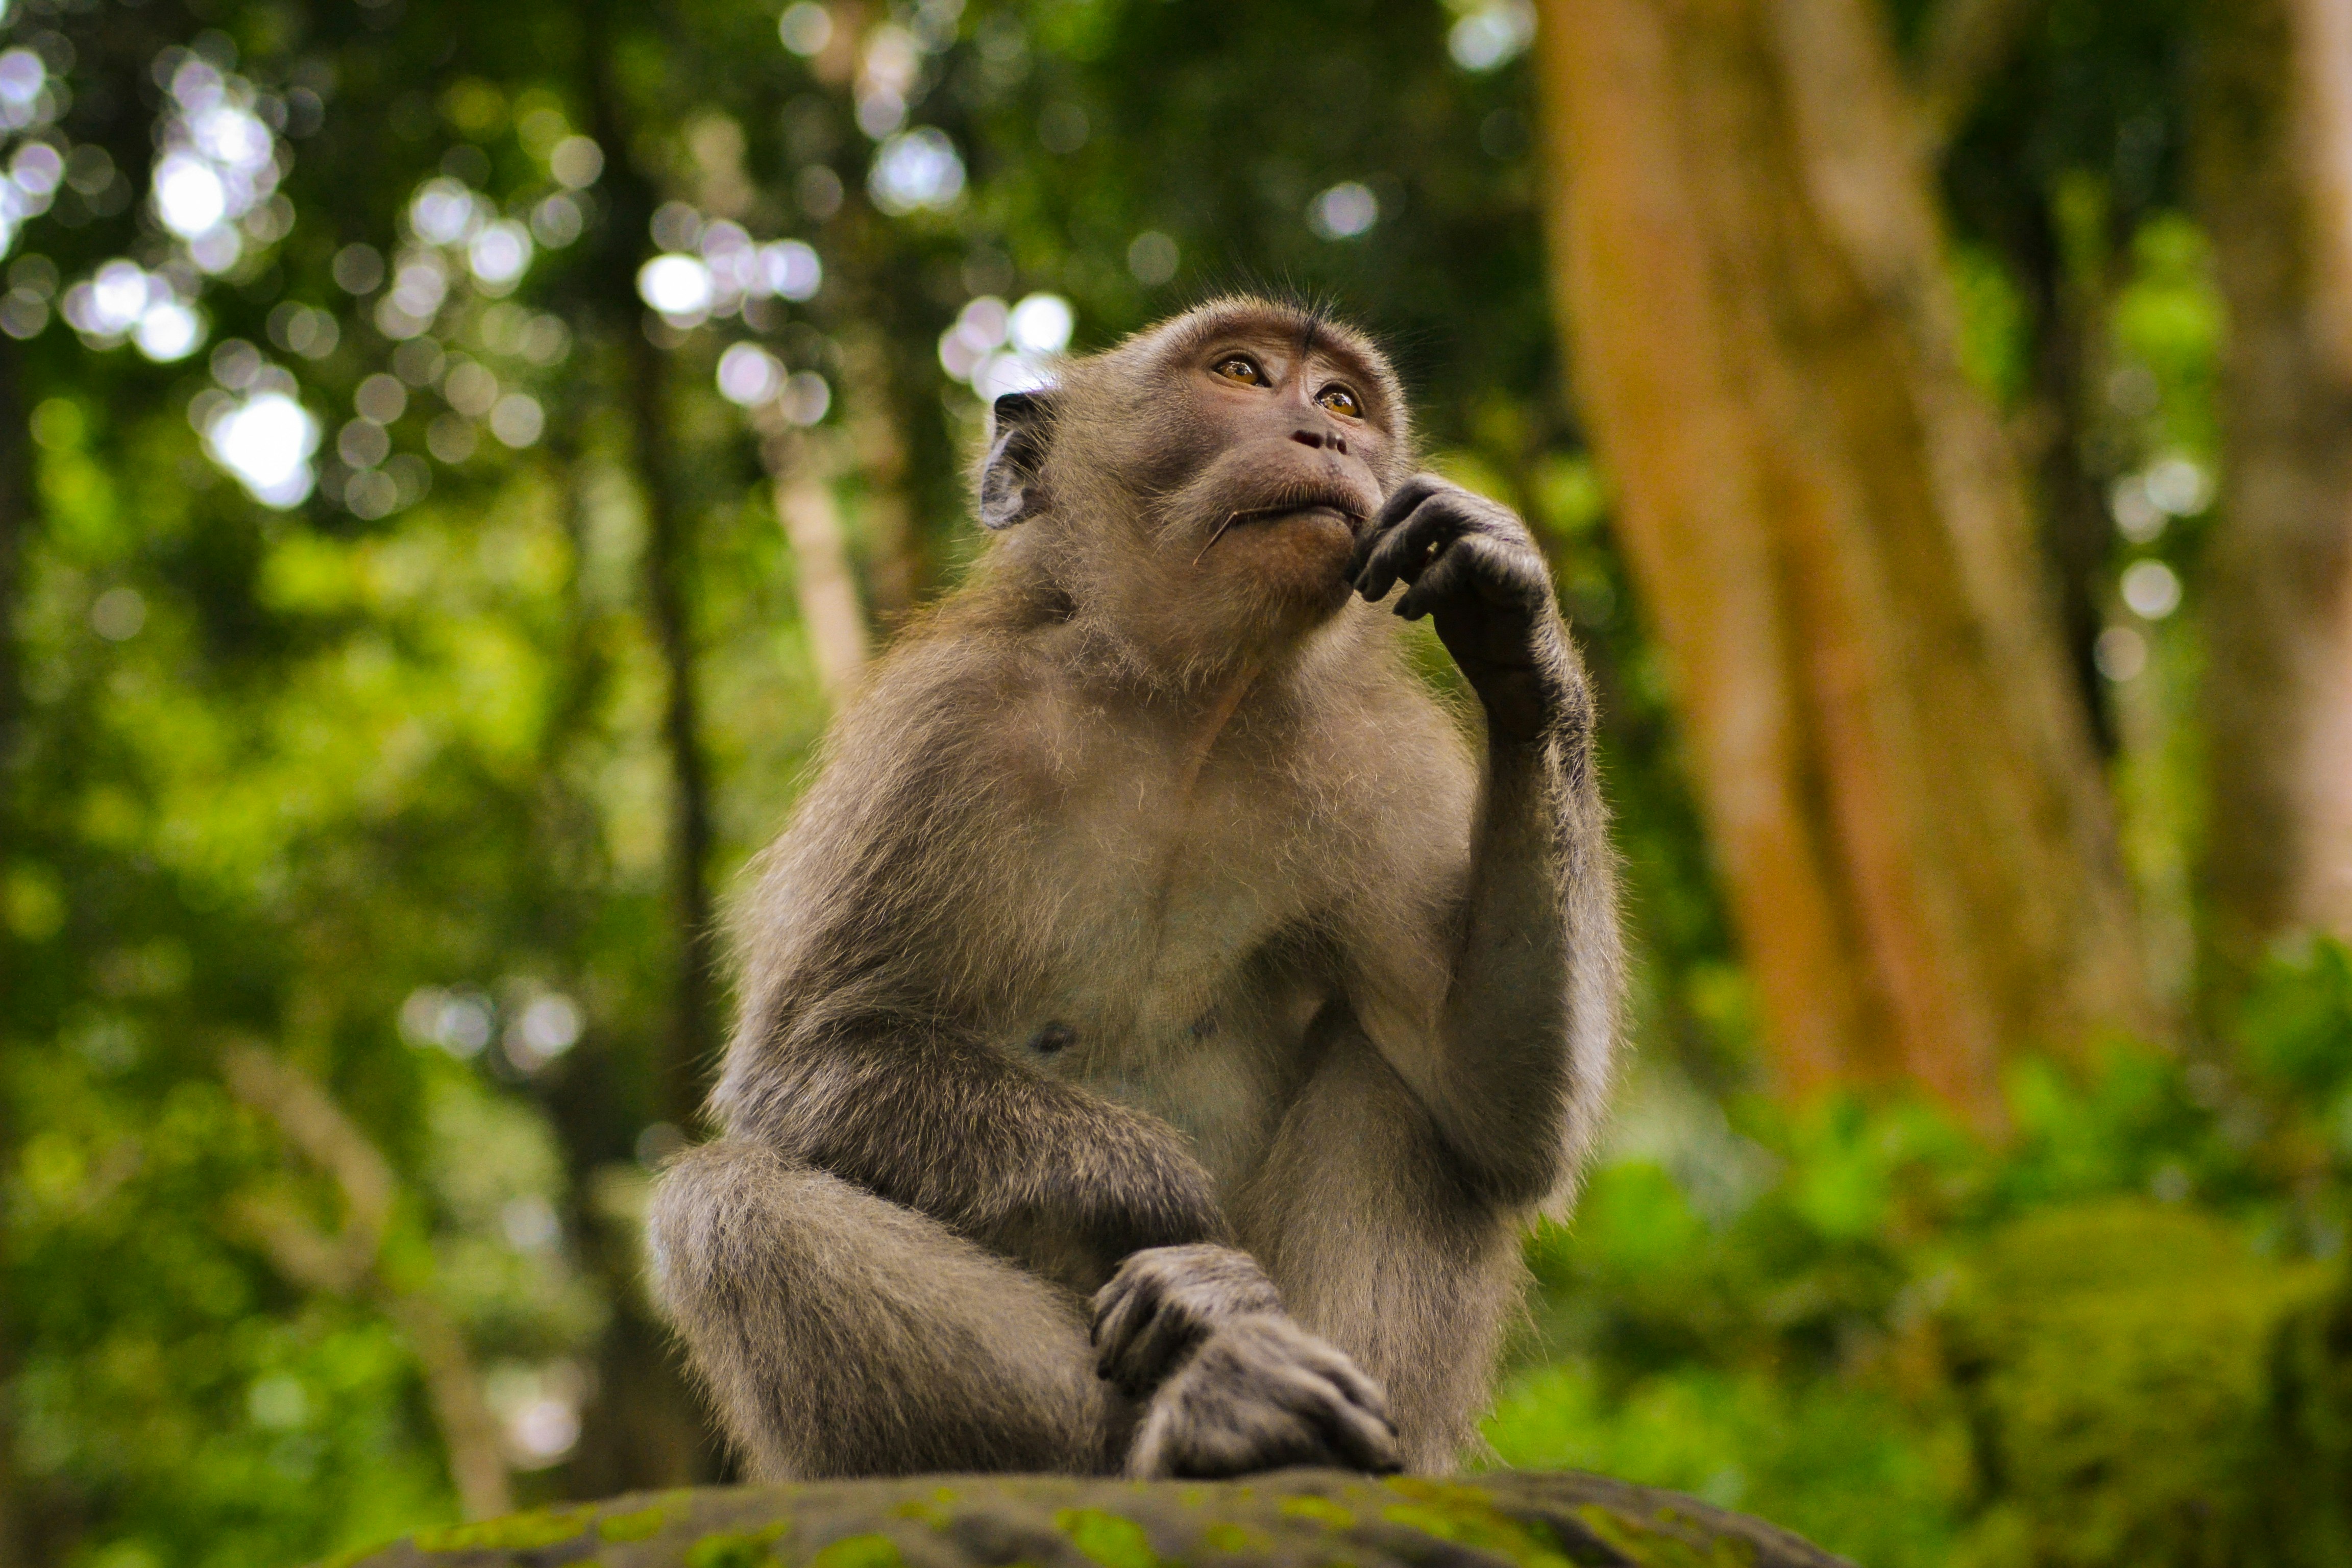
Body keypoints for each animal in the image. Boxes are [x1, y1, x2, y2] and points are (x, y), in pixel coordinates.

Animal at [654, 293, 1627, 1485]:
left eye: (1343, 400)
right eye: (1243, 374)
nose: (1326, 436)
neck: (1184, 710)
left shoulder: (1380, 765)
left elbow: (1494, 1104)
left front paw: (1513, 618)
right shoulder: (937, 733)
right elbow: (804, 1062)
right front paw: (1183, 1220)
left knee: (1402, 1084)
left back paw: (1329, 1433)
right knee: (724, 1204)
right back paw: (1209, 1409)